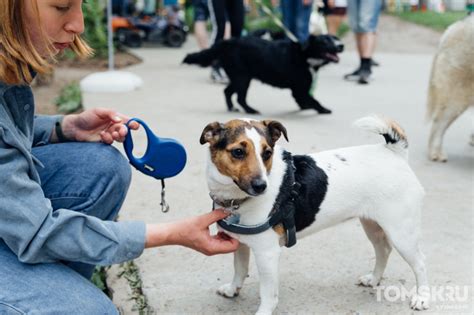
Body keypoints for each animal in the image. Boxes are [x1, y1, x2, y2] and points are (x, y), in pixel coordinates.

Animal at [183, 35, 342, 114]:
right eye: (325, 40)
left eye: (335, 38)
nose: (341, 45)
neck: (304, 55)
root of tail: (227, 42)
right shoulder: (299, 89)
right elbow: (314, 100)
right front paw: (323, 110)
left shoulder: (299, 90)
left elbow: (306, 100)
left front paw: (306, 107)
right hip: (243, 78)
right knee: (240, 98)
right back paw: (250, 111)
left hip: (238, 77)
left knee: (227, 91)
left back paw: (231, 108)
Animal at [200, 116, 430, 314]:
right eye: (238, 152)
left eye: (267, 153)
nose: (261, 186)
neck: (237, 199)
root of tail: (394, 153)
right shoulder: (241, 243)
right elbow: (239, 269)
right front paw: (232, 289)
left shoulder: (267, 254)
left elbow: (268, 294)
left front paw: (263, 312)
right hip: (372, 225)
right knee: (383, 250)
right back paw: (374, 279)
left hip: (402, 233)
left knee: (420, 263)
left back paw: (422, 298)